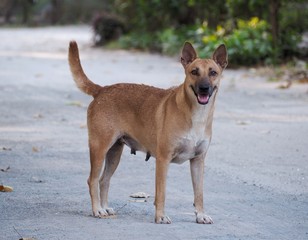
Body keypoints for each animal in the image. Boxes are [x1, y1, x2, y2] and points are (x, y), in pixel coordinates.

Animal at [68, 40, 227, 223]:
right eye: (194, 72)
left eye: (213, 72)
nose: (204, 88)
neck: (196, 114)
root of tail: (102, 90)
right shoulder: (163, 160)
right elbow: (161, 193)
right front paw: (161, 216)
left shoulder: (198, 161)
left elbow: (199, 193)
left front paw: (200, 215)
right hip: (99, 149)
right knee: (92, 180)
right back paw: (97, 209)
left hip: (114, 154)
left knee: (104, 180)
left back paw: (105, 207)